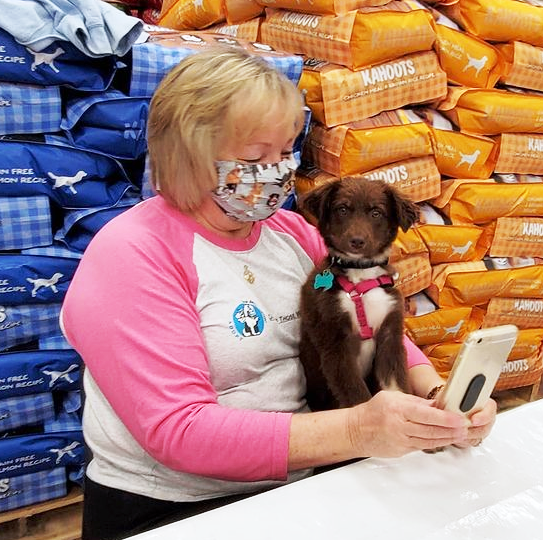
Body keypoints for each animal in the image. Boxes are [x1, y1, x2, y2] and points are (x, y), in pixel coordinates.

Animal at [298, 177, 420, 410]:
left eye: (376, 213)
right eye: (342, 209)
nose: (356, 241)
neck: (361, 275)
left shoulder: (390, 335)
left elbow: (396, 384)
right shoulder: (334, 343)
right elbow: (356, 396)